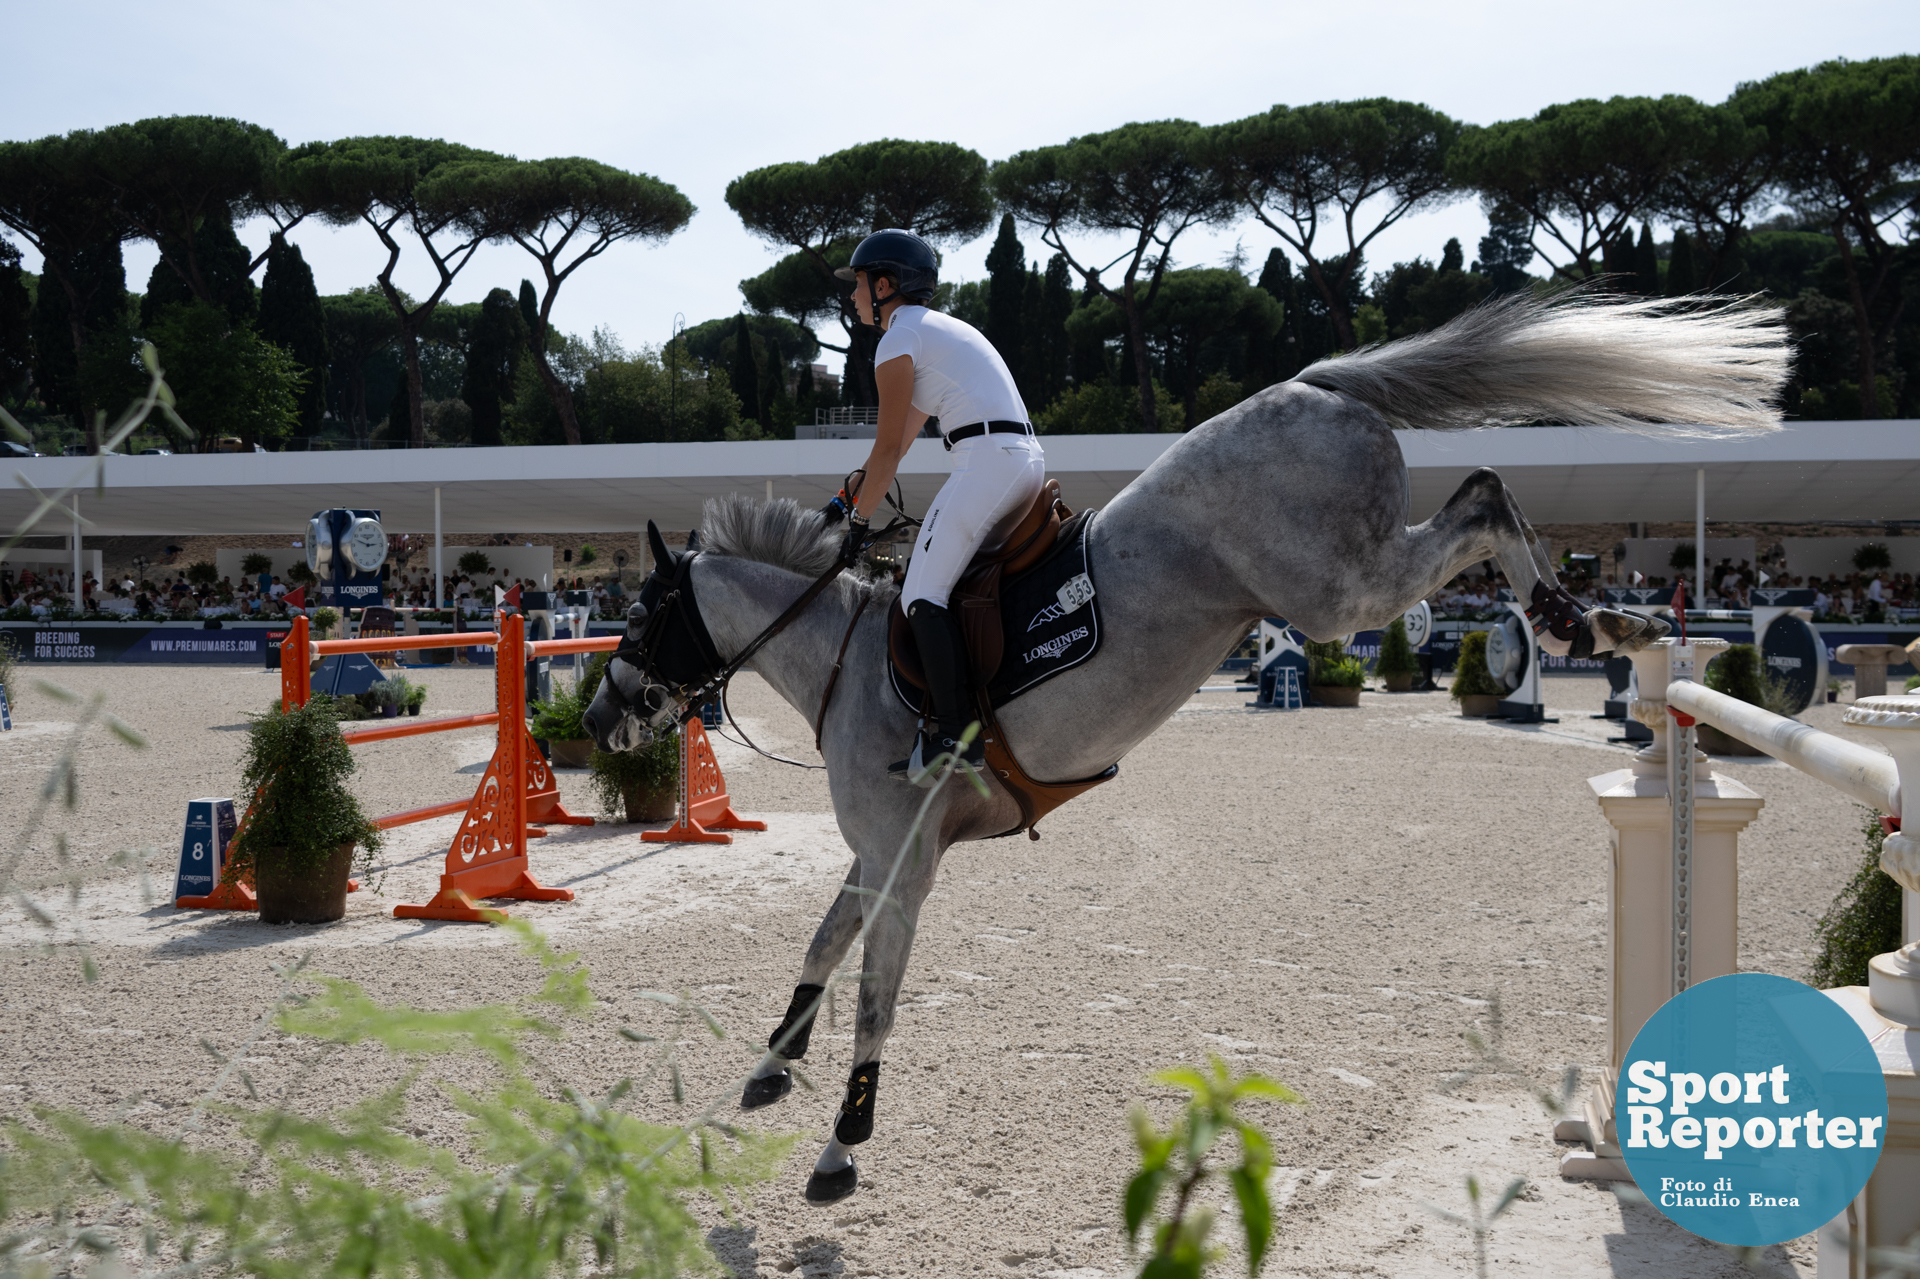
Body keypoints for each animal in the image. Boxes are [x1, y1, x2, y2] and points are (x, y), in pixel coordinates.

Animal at [579, 288, 1781, 1198]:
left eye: (637, 614)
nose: (597, 717)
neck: (847, 655)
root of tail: (1315, 383)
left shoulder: (906, 861)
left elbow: (873, 991)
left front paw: (841, 1146)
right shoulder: (879, 855)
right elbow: (824, 948)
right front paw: (771, 1064)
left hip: (1336, 588)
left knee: (1478, 505)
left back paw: (1580, 620)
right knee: (1483, 496)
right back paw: (1594, 618)